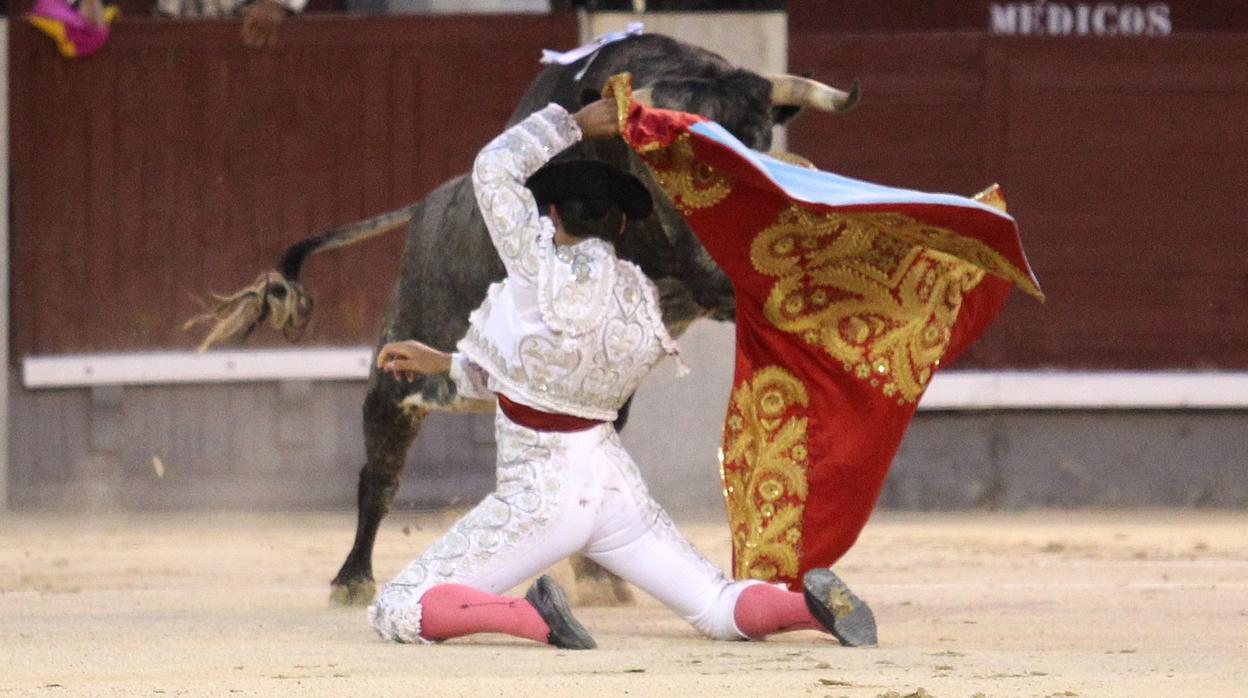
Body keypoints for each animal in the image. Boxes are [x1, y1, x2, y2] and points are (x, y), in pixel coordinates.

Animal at [187, 34, 858, 606]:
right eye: (668, 162)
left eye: (759, 142)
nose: (730, 273)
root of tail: (428, 201)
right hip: (394, 373)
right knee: (379, 473)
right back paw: (351, 580)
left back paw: (599, 580)